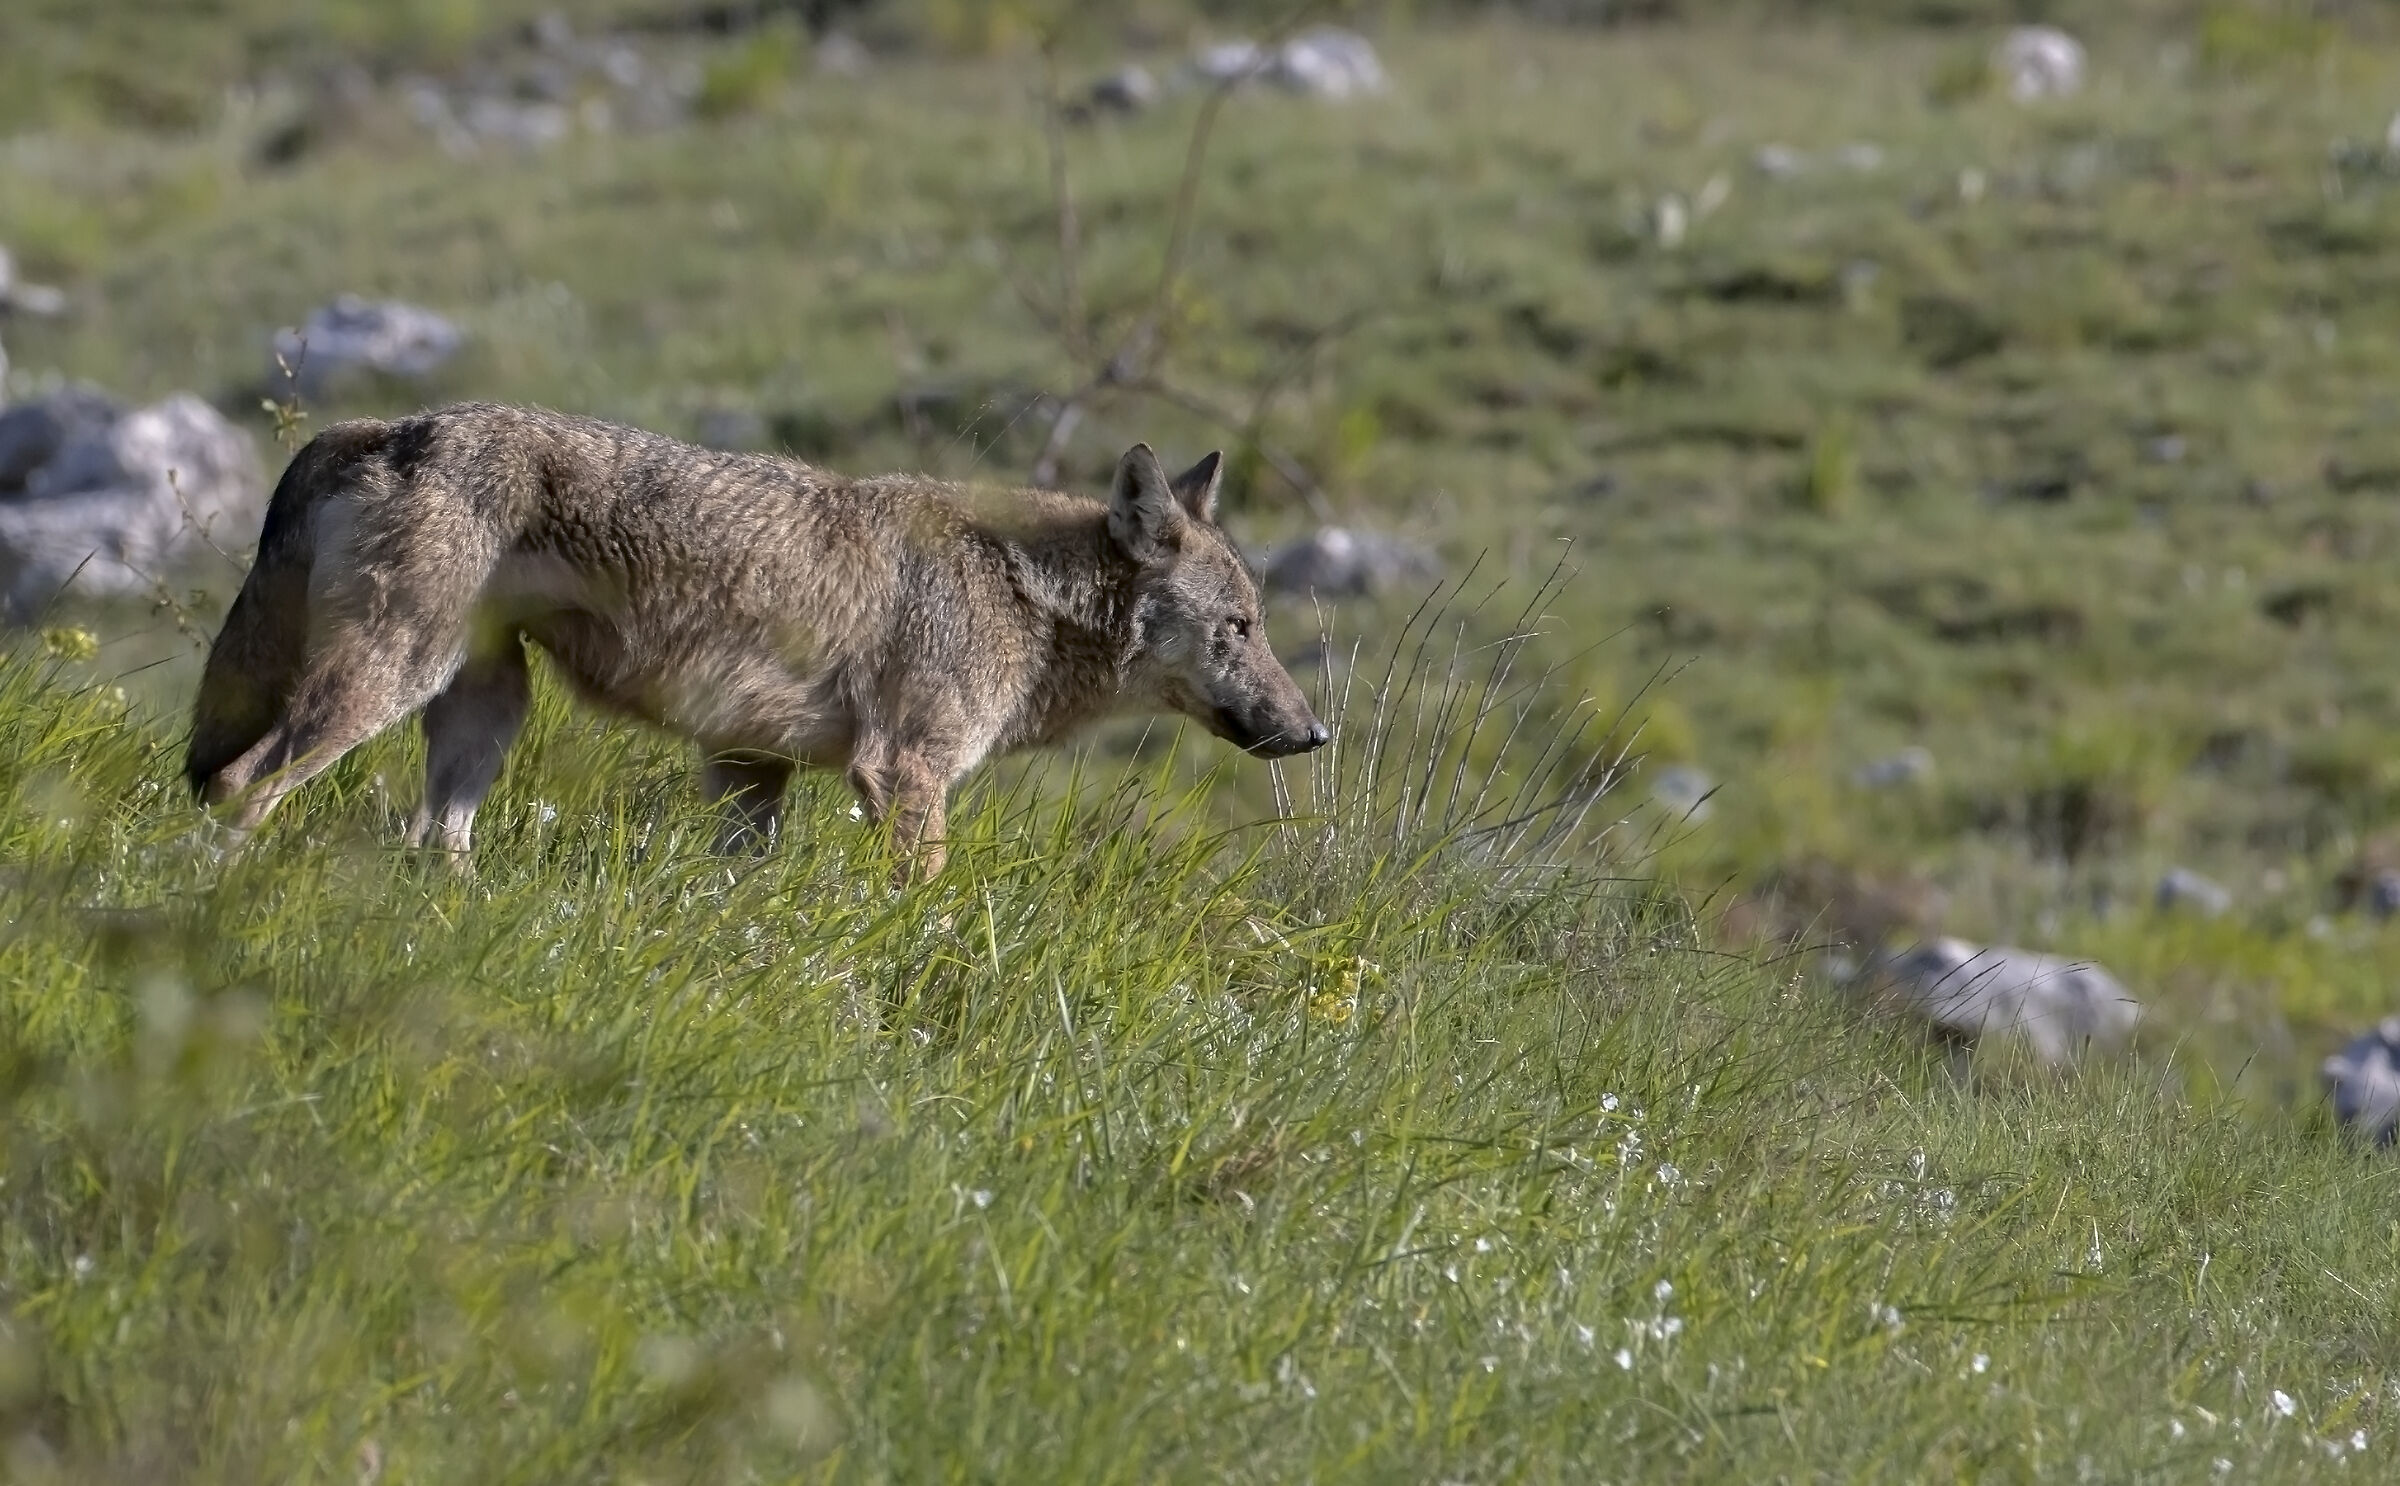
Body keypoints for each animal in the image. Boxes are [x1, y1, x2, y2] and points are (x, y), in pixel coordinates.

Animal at [183, 402, 1327, 879]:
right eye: (1241, 628)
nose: (1315, 733)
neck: (1022, 593)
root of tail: (384, 428)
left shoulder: (749, 769)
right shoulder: (904, 774)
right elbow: (933, 911)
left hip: (483, 715)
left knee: (432, 842)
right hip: (389, 683)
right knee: (242, 783)